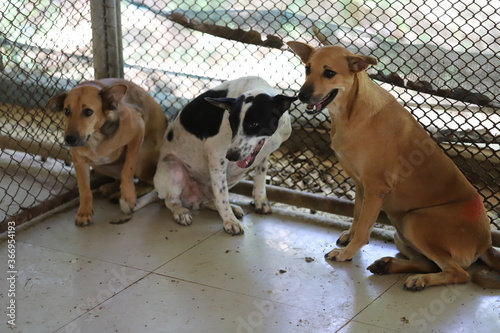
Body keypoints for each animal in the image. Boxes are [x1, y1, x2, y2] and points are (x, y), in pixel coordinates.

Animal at [47, 77, 168, 226]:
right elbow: (84, 189)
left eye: (88, 112)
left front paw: (128, 196)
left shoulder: (138, 131)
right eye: (67, 111)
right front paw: (84, 212)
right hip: (99, 166)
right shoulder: (79, 161)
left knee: (150, 183)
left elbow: (127, 170)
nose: (69, 139)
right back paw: (110, 188)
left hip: (141, 157)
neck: (95, 137)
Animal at [152, 75, 296, 233]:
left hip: (234, 176)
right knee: (172, 201)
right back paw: (181, 212)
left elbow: (260, 178)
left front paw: (260, 201)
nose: (232, 157)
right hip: (173, 168)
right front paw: (229, 221)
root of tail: (195, 200)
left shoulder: (263, 155)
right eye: (232, 123)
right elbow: (222, 196)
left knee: (211, 200)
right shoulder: (217, 155)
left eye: (254, 124)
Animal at [286, 41, 500, 290]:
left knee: (458, 273)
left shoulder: (376, 189)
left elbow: (363, 230)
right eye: (307, 68)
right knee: (429, 263)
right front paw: (349, 236)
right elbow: (357, 216)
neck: (352, 112)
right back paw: (388, 266)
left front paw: (346, 253)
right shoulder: (361, 186)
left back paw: (419, 280)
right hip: (402, 233)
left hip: (413, 222)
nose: (301, 96)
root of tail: (486, 244)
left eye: (329, 73)